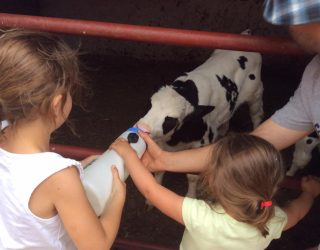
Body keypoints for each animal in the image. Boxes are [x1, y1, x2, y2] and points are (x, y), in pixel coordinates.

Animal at [136, 34, 264, 201]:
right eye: (149, 104)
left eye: (171, 119)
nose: (142, 127)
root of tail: (247, 34)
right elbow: (159, 169)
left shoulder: (200, 145)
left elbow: (192, 176)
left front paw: (191, 195)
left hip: (256, 95)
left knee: (256, 116)